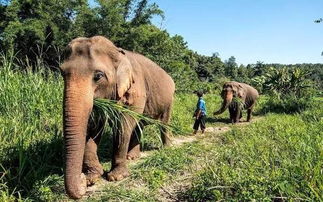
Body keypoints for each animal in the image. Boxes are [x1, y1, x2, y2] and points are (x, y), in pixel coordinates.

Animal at [59, 36, 176, 199]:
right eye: (62, 72)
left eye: (98, 76)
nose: (82, 181)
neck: (118, 52)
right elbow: (93, 126)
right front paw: (92, 177)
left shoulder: (136, 89)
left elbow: (123, 124)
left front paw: (116, 177)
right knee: (138, 125)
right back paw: (132, 157)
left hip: (169, 98)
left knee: (163, 122)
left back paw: (166, 148)